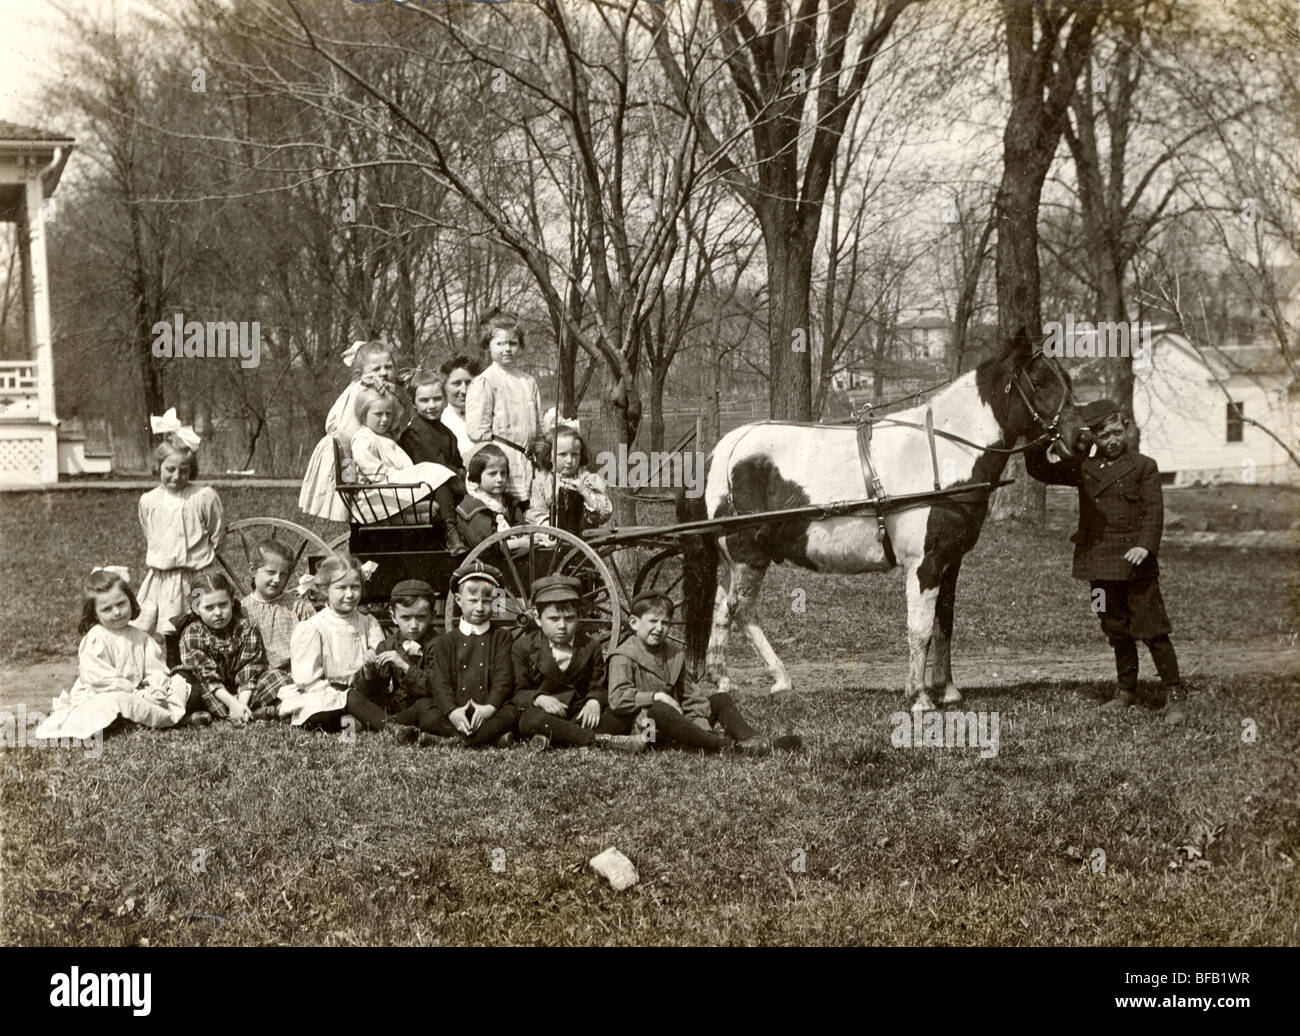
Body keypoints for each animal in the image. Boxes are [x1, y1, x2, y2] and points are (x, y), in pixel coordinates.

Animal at [691, 331, 1097, 712]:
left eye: (1066, 379)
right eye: (1040, 381)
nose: (1081, 439)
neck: (944, 451)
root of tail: (723, 450)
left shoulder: (950, 563)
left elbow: (944, 624)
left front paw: (947, 690)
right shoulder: (924, 564)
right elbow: (920, 629)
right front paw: (919, 696)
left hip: (735, 562)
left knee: (721, 610)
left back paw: (724, 678)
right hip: (748, 558)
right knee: (740, 610)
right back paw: (780, 679)